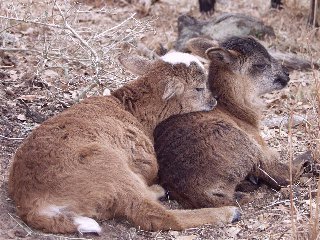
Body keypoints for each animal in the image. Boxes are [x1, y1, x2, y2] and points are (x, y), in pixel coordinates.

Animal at [8, 51, 241, 233]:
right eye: (199, 88)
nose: (214, 100)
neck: (135, 110)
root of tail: (33, 204)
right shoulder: (144, 160)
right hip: (108, 167)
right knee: (153, 214)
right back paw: (228, 212)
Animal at [154, 36, 304, 209]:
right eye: (260, 64)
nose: (287, 75)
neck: (235, 110)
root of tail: (193, 191)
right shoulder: (261, 146)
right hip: (247, 147)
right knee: (281, 176)